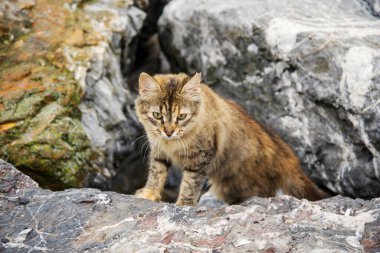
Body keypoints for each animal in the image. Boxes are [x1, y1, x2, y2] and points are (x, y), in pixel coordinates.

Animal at [134, 71, 330, 206]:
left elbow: (190, 183)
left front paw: (184, 204)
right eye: (158, 115)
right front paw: (149, 193)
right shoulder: (158, 151)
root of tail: (290, 159)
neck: (171, 144)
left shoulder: (201, 158)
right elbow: (156, 173)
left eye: (181, 117)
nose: (169, 131)